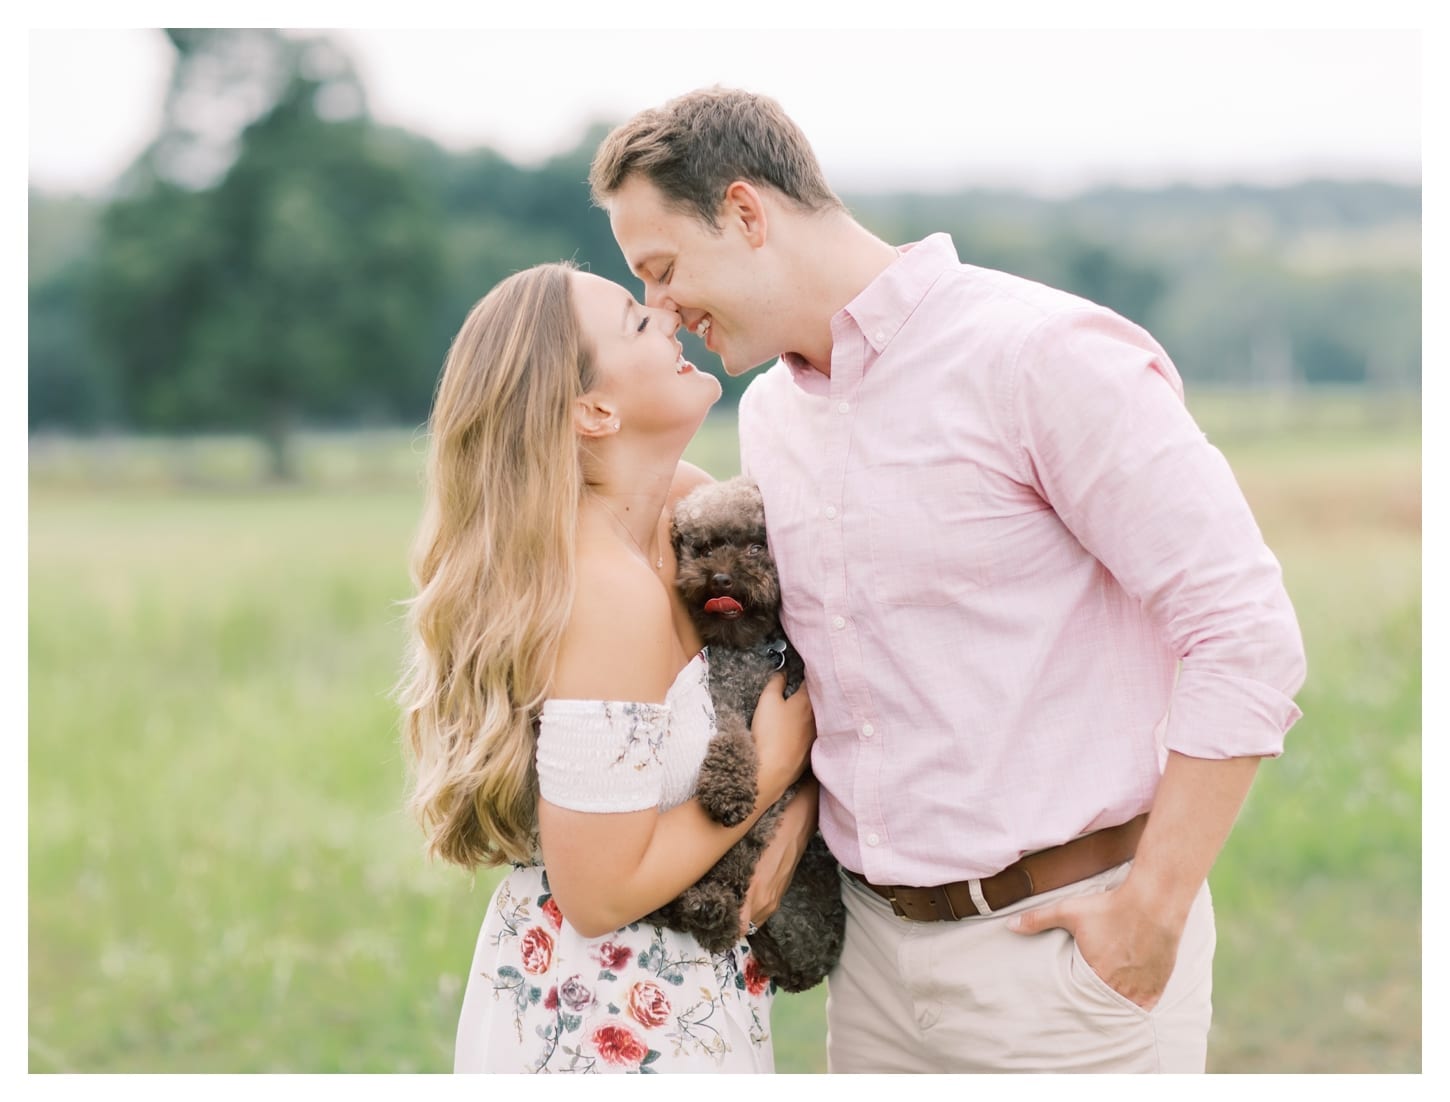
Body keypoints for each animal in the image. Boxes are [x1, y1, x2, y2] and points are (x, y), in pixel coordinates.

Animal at [640, 478, 846, 991]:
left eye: (756, 547)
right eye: (704, 548)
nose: (721, 581)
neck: (754, 651)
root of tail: (805, 971)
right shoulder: (726, 702)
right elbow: (733, 744)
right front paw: (727, 789)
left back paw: (705, 904)